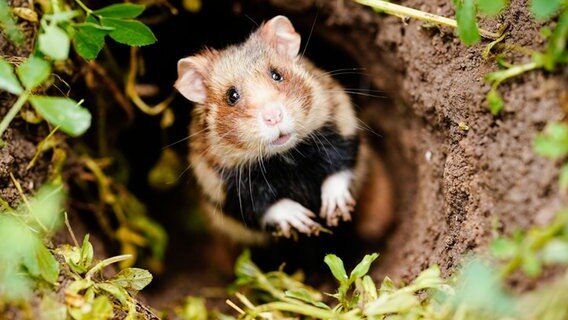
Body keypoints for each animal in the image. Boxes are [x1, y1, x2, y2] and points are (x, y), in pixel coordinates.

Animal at [175, 16, 388, 244]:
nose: (274, 116)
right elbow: (262, 206)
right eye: (231, 96)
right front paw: (303, 219)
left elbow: (340, 164)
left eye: (276, 75)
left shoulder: (341, 119)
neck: (286, 157)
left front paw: (333, 209)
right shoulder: (221, 184)